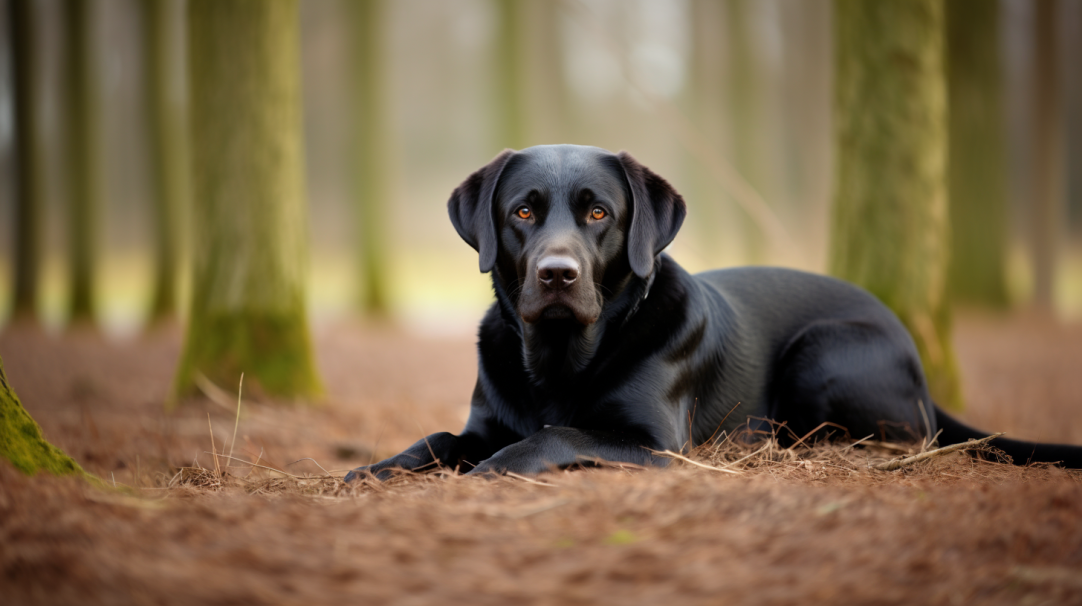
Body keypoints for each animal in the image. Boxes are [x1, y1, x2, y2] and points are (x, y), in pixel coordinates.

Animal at [346, 143, 1082, 480]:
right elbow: (437, 437)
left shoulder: (652, 441)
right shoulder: (483, 421)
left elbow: (553, 435)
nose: (557, 274)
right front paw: (372, 470)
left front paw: (491, 470)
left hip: (824, 349)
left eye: (598, 213)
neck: (559, 360)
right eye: (523, 212)